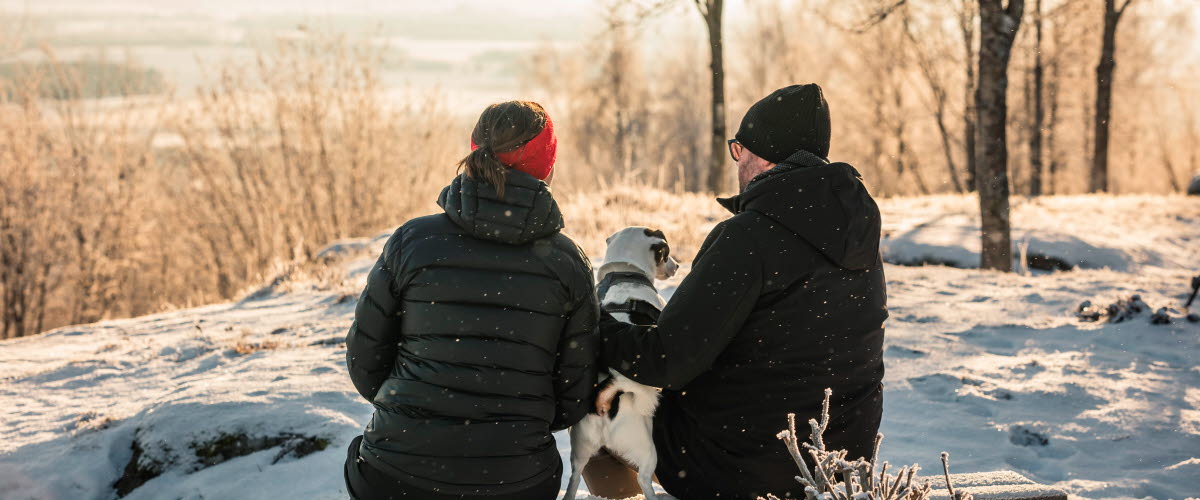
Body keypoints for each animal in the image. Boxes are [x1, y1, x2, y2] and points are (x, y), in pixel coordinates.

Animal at [559, 226, 676, 498]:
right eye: (665, 253)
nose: (677, 266)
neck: (623, 274)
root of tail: (606, 403)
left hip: (581, 451)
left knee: (574, 477)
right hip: (647, 450)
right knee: (644, 479)